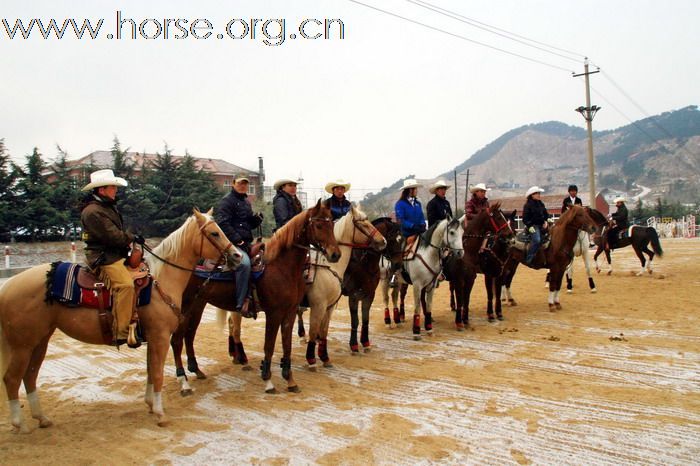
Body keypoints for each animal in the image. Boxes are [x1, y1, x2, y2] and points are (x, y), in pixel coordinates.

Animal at [0, 209, 239, 432]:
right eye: (214, 233)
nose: (236, 255)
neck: (160, 281)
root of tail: (7, 286)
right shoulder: (160, 337)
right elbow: (158, 374)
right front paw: (160, 413)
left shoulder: (152, 338)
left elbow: (151, 371)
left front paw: (150, 404)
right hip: (23, 345)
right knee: (12, 378)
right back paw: (20, 424)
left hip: (40, 341)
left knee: (29, 376)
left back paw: (42, 418)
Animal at [172, 202, 342, 396]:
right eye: (319, 225)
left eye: (331, 225)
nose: (335, 254)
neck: (281, 266)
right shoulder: (274, 313)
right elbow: (269, 346)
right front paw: (268, 381)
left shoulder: (290, 312)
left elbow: (287, 345)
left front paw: (290, 380)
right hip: (184, 308)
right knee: (176, 340)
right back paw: (184, 382)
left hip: (198, 305)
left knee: (189, 335)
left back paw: (197, 370)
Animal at [342, 218, 402, 354]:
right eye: (391, 238)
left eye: (402, 240)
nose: (398, 265)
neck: (364, 263)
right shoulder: (353, 296)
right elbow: (355, 321)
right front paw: (354, 345)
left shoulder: (369, 294)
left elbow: (365, 319)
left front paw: (365, 343)